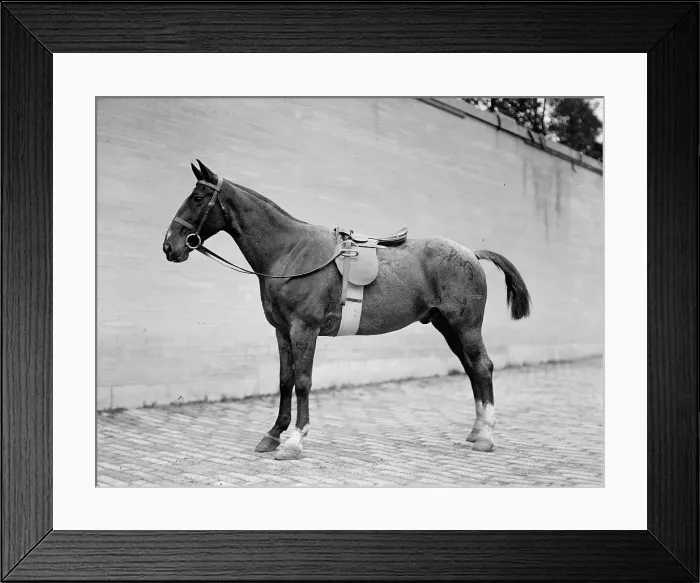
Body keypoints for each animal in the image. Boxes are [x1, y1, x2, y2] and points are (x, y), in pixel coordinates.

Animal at [163, 160, 531, 461]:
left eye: (198, 199)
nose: (170, 246)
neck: (291, 252)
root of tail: (470, 252)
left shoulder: (304, 329)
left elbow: (302, 381)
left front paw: (294, 440)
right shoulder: (282, 331)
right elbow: (284, 380)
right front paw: (273, 435)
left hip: (466, 326)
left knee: (482, 367)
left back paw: (486, 436)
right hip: (447, 326)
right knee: (471, 369)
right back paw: (476, 430)